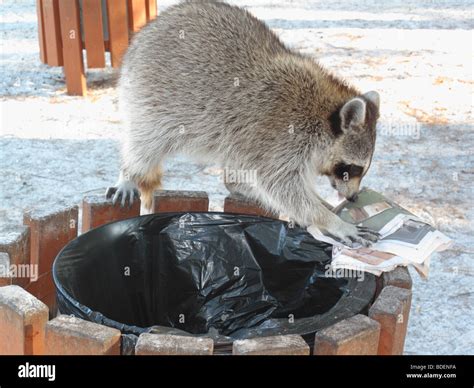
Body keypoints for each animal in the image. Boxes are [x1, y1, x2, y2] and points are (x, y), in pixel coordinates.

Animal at [106, 1, 382, 247]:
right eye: (351, 168)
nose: (353, 197)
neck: (323, 114)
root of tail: (146, 32)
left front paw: (323, 205)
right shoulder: (284, 135)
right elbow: (282, 186)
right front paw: (330, 220)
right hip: (150, 98)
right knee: (145, 144)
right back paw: (129, 172)